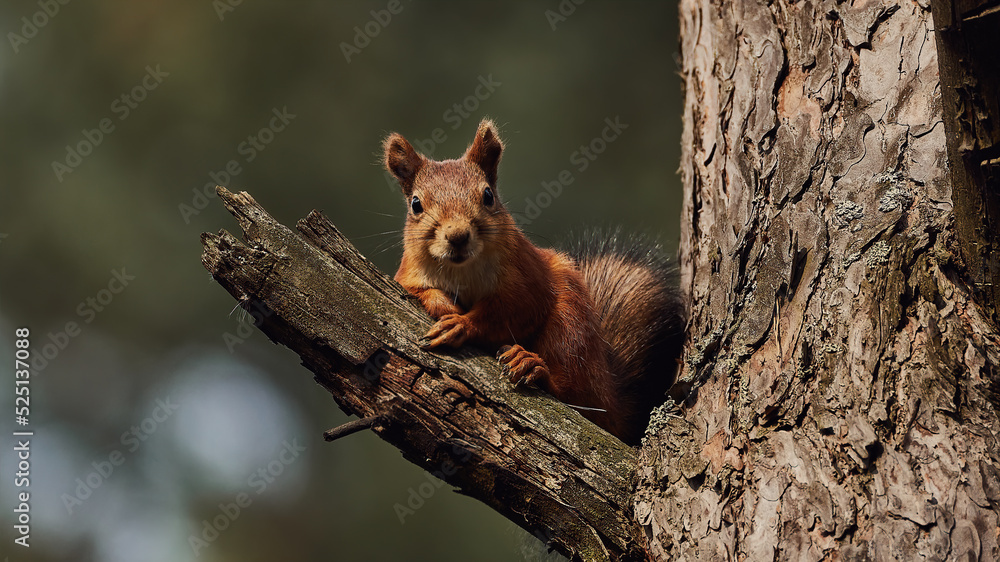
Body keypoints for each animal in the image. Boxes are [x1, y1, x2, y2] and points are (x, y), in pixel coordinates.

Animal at [383, 118, 685, 445]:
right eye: (416, 204)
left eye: (488, 196)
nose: (458, 236)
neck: (461, 269)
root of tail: (609, 392)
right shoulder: (407, 274)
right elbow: (417, 289)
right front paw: (442, 306)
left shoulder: (527, 279)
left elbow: (508, 312)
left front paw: (462, 323)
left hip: (571, 326)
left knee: (577, 394)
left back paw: (533, 366)